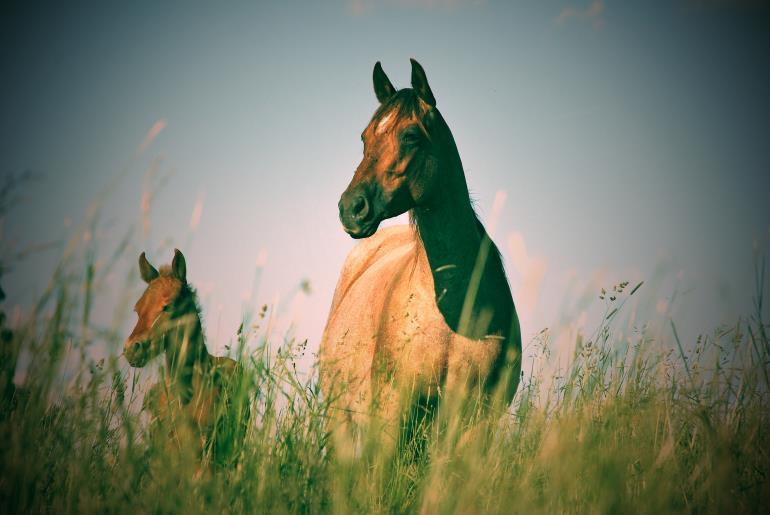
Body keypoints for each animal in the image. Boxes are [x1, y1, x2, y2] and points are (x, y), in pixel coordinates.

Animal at [318, 59, 520, 448]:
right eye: (365, 137)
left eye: (411, 136)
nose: (350, 209)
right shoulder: (391, 413)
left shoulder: (476, 423)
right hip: (341, 421)